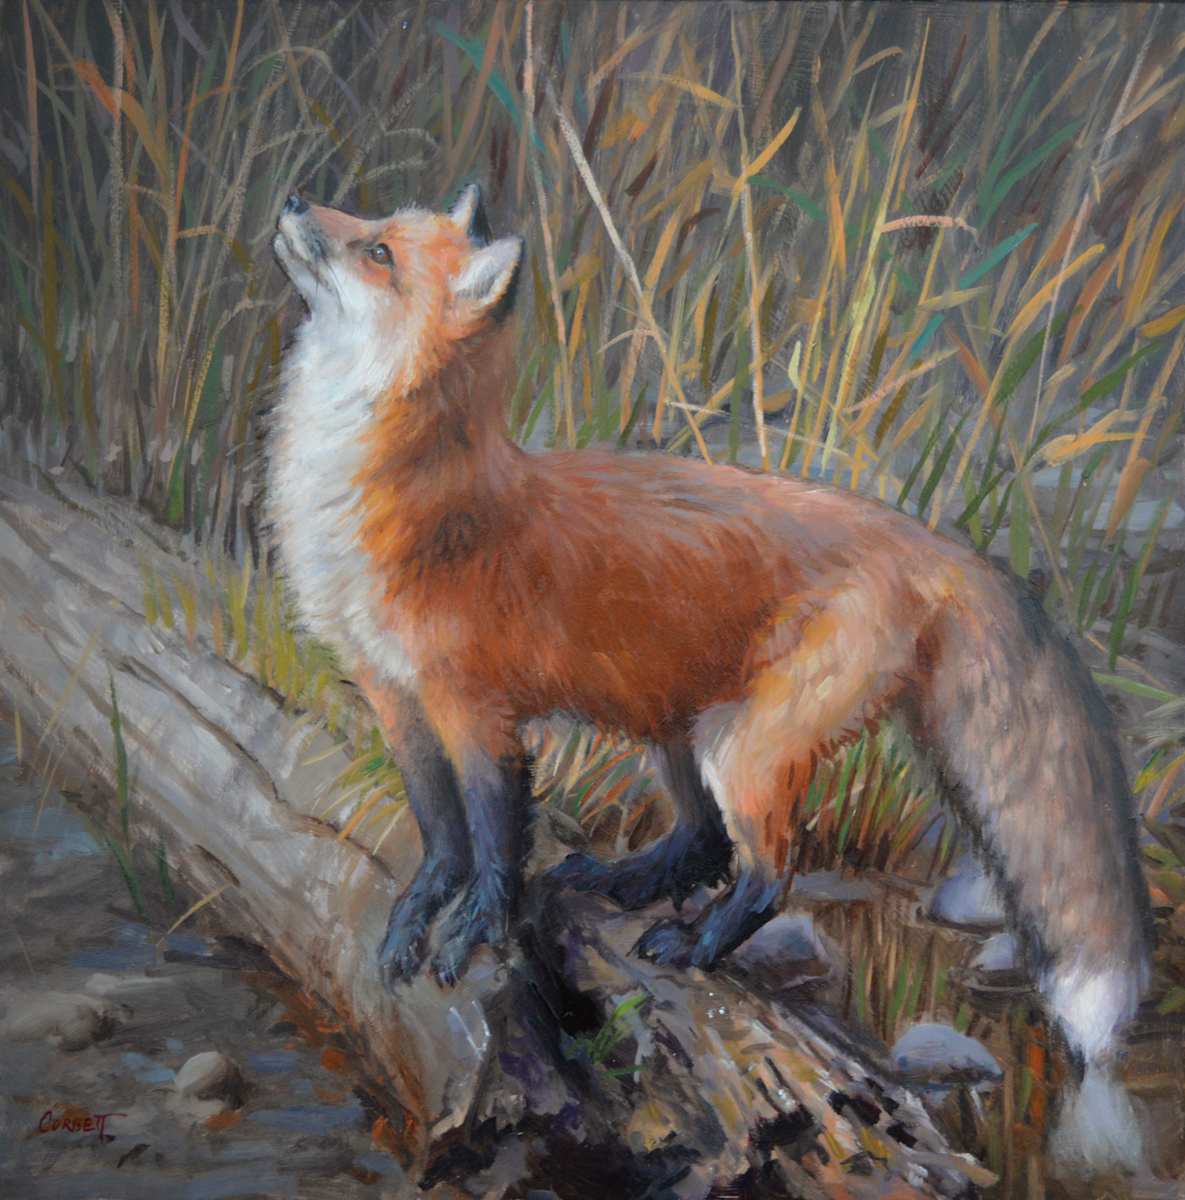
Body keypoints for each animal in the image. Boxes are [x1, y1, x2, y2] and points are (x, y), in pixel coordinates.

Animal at [269, 185, 1152, 1165]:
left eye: (378, 252)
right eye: (371, 226)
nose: (294, 198)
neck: (410, 508)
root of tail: (929, 542)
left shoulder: (475, 709)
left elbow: (494, 841)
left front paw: (470, 931)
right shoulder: (394, 699)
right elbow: (439, 834)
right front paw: (417, 915)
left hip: (741, 745)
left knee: (769, 874)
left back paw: (696, 947)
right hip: (677, 723)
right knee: (703, 842)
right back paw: (625, 881)